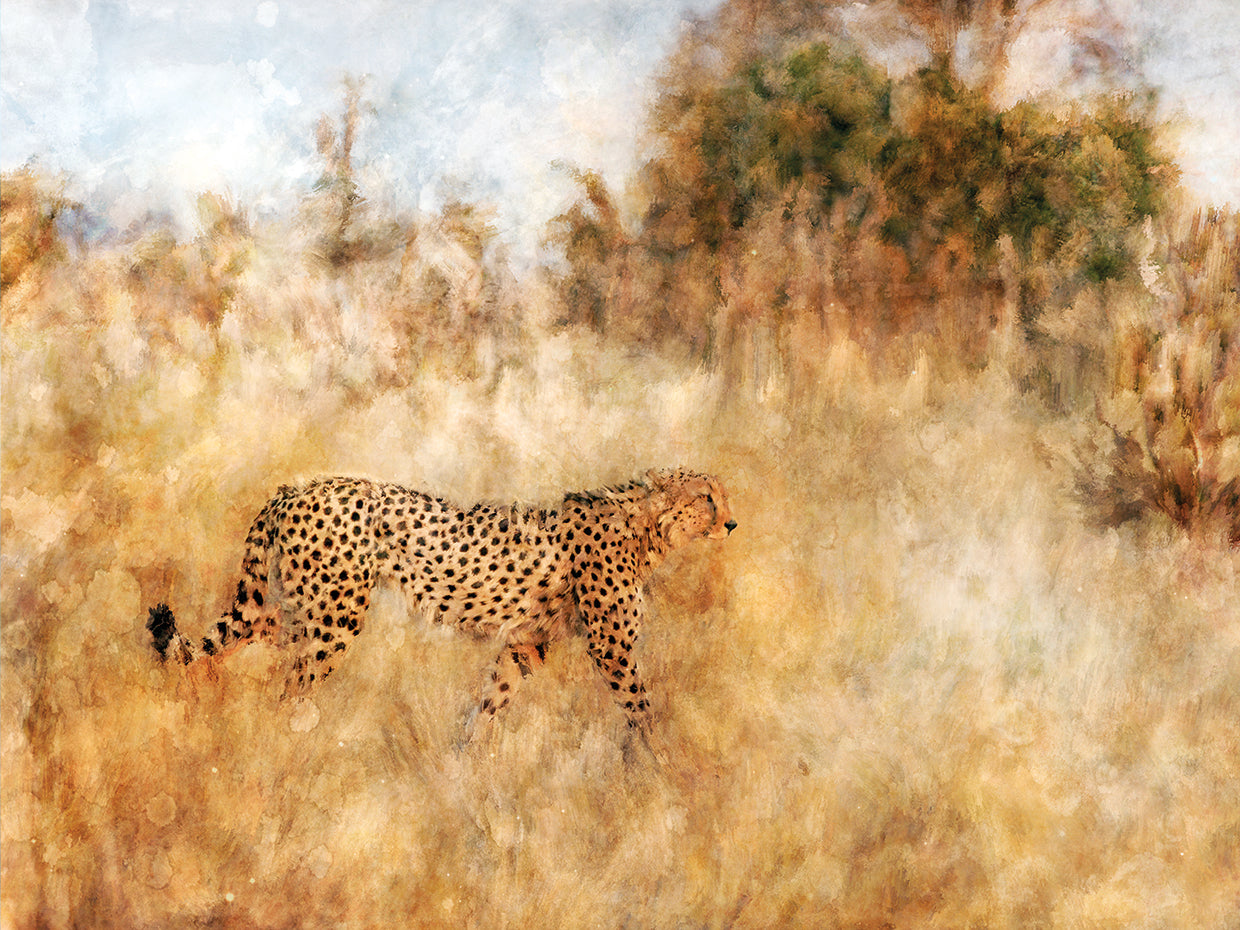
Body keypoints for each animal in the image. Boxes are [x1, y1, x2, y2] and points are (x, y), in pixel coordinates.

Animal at [147, 467, 736, 737]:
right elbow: (642, 710)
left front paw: (468, 759)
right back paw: (288, 738)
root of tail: (299, 486)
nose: (731, 523)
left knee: (259, 625)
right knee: (294, 681)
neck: (645, 528)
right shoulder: (612, 648)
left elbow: (494, 699)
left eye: (722, 496)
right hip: (337, 616)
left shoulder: (525, 642)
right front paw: (661, 772)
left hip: (312, 604)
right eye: (705, 497)